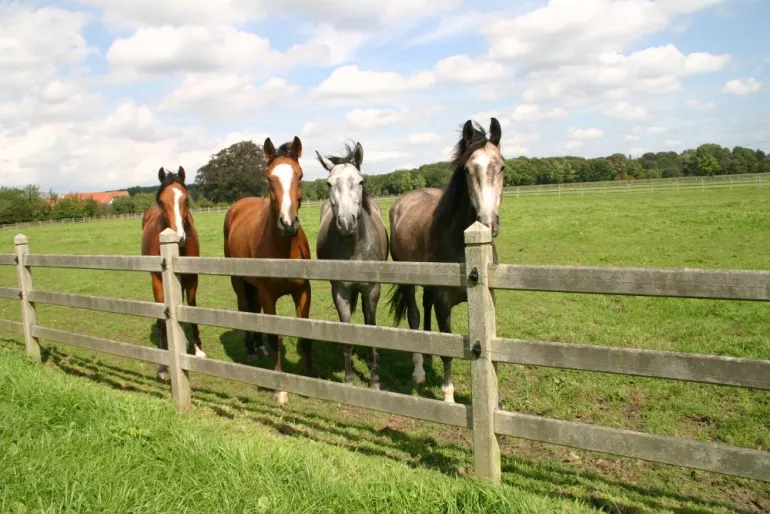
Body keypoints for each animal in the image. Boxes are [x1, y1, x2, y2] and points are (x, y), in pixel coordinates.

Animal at [141, 166, 205, 381]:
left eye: (186, 199)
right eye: (162, 201)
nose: (179, 237)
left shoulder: (192, 278)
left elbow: (191, 308)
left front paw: (198, 348)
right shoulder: (157, 280)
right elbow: (163, 317)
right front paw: (162, 366)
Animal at [223, 136, 313, 405]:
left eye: (300, 175)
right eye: (269, 177)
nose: (288, 223)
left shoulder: (303, 292)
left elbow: (305, 334)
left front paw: (310, 378)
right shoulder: (267, 295)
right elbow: (275, 337)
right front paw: (280, 390)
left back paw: (259, 346)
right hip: (240, 283)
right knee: (245, 308)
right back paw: (252, 350)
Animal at [315, 142, 389, 390]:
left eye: (360, 181)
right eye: (329, 183)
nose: (346, 222)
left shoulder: (372, 290)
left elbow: (371, 328)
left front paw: (375, 380)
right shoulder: (340, 291)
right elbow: (346, 336)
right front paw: (348, 379)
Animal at [388, 118, 505, 403]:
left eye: (501, 166)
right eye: (468, 169)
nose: (488, 223)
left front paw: (496, 399)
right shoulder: (444, 304)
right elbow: (448, 349)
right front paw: (449, 396)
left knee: (425, 308)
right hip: (408, 283)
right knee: (415, 316)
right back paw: (419, 368)